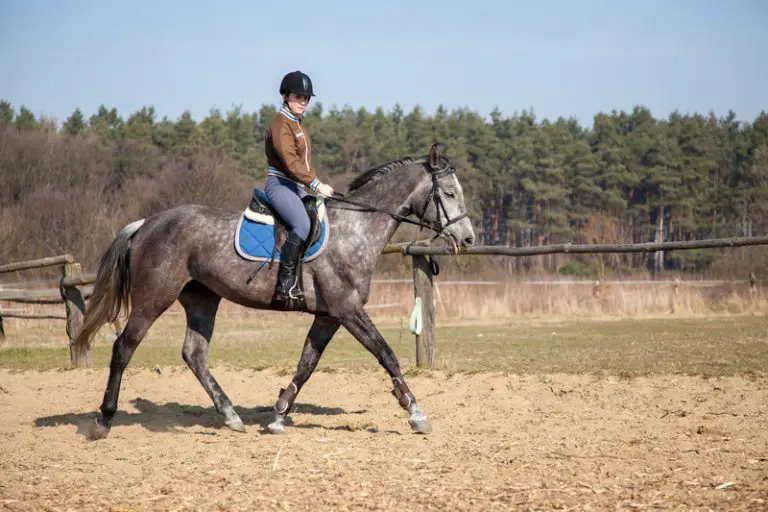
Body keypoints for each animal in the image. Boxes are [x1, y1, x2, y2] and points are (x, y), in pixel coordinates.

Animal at [74, 143, 476, 439]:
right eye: (449, 193)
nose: (468, 238)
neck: (356, 228)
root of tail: (146, 223)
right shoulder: (348, 310)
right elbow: (386, 354)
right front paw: (415, 411)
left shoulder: (329, 315)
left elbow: (307, 364)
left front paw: (279, 414)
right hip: (153, 299)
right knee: (124, 348)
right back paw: (104, 420)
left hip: (202, 298)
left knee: (195, 354)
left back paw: (231, 415)